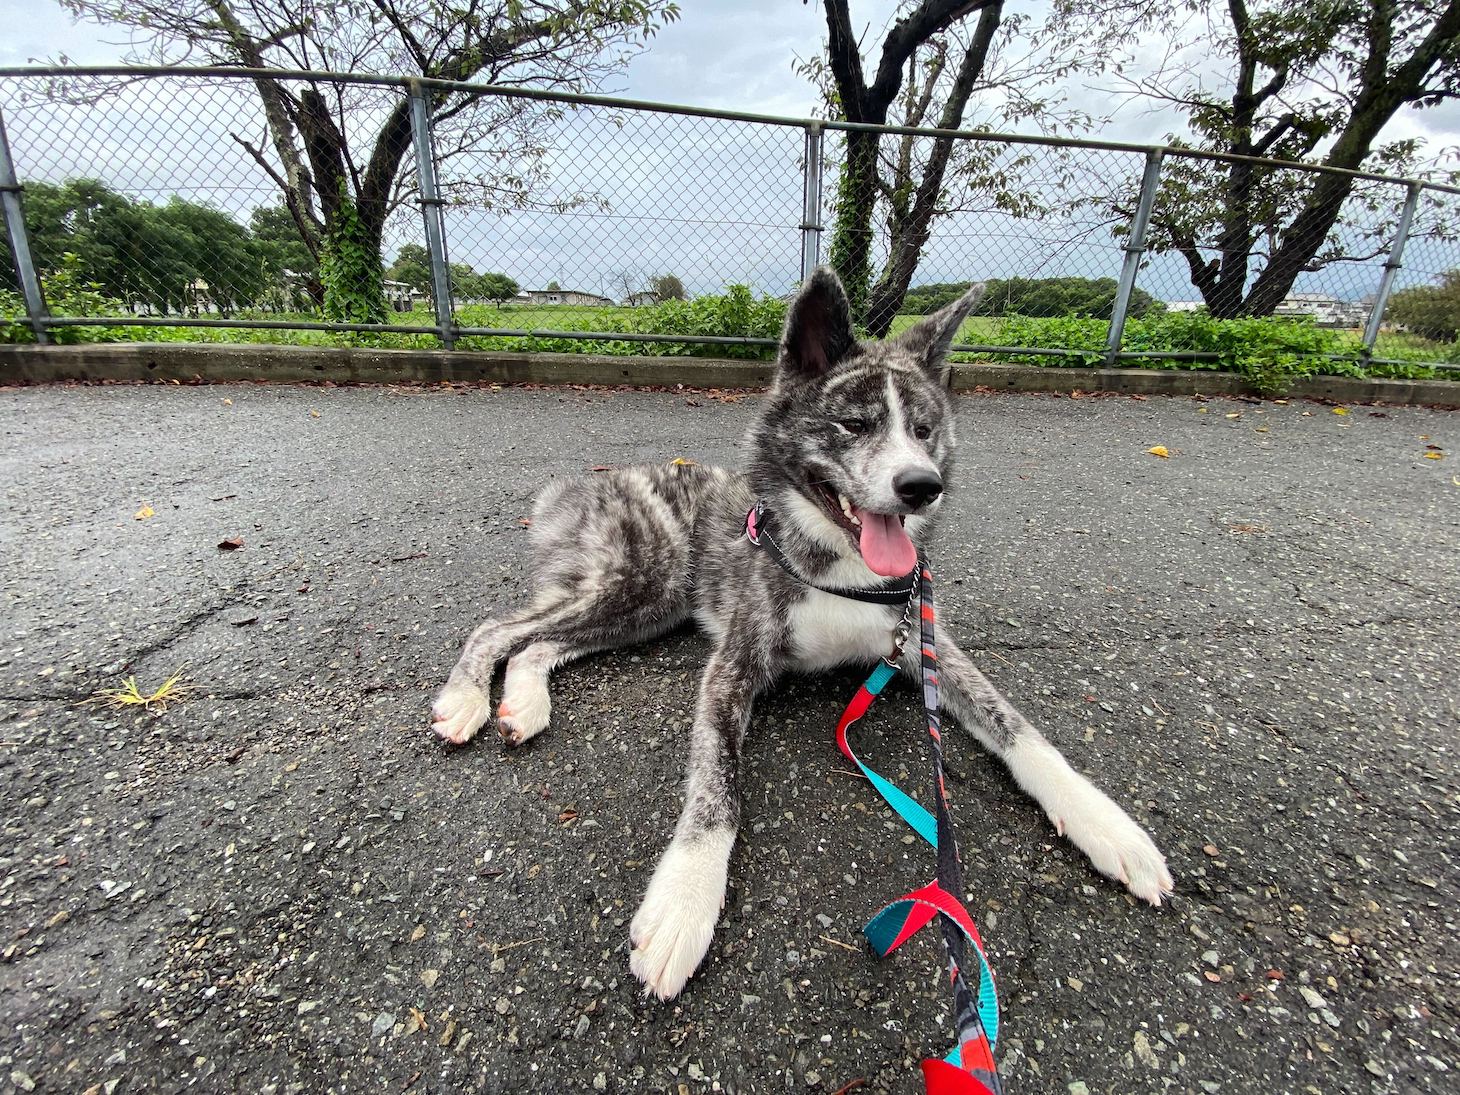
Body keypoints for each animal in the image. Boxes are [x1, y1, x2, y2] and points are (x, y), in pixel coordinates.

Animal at [432, 268, 1173, 1004]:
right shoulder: (731, 668)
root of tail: (583, 485)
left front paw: (1106, 823)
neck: (840, 566)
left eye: (925, 429)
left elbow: (1018, 727)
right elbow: (717, 790)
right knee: (499, 627)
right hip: (647, 580)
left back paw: (523, 703)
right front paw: (684, 902)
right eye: (854, 424)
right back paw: (467, 701)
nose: (922, 485)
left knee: (537, 644)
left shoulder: (927, 647)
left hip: (646, 606)